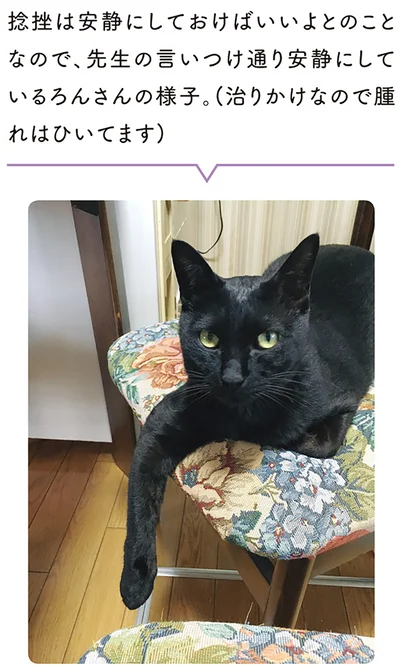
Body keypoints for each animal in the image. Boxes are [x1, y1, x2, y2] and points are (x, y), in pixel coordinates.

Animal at [120, 233, 374, 610]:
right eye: (208, 339)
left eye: (267, 339)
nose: (232, 377)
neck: (242, 414)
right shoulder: (160, 425)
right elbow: (140, 502)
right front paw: (135, 580)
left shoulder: (343, 401)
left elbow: (320, 441)